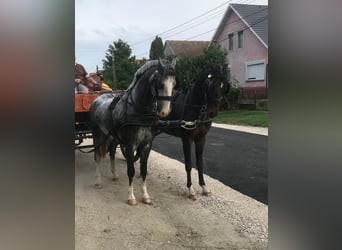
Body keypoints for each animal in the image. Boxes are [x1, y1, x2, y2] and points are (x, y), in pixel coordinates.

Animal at [89, 58, 176, 205]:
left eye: (175, 84)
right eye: (160, 83)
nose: (164, 112)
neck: (139, 111)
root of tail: (97, 99)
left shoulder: (146, 145)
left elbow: (144, 170)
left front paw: (145, 195)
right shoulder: (130, 146)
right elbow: (131, 171)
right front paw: (131, 197)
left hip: (112, 137)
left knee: (112, 153)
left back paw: (114, 175)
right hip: (98, 136)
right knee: (97, 157)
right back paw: (98, 181)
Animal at [160, 64, 230, 199]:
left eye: (224, 86)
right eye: (209, 84)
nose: (213, 112)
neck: (193, 106)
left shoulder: (201, 138)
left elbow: (200, 163)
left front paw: (204, 187)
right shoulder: (187, 139)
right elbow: (188, 164)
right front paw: (190, 189)